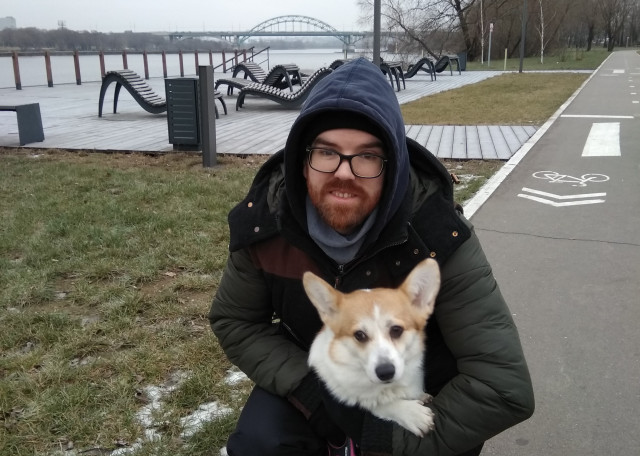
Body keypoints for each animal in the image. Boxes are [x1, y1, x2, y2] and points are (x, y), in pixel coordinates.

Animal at [303, 258, 440, 437]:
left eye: (396, 330)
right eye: (359, 335)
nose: (386, 372)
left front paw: (420, 396)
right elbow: (381, 404)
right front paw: (412, 414)